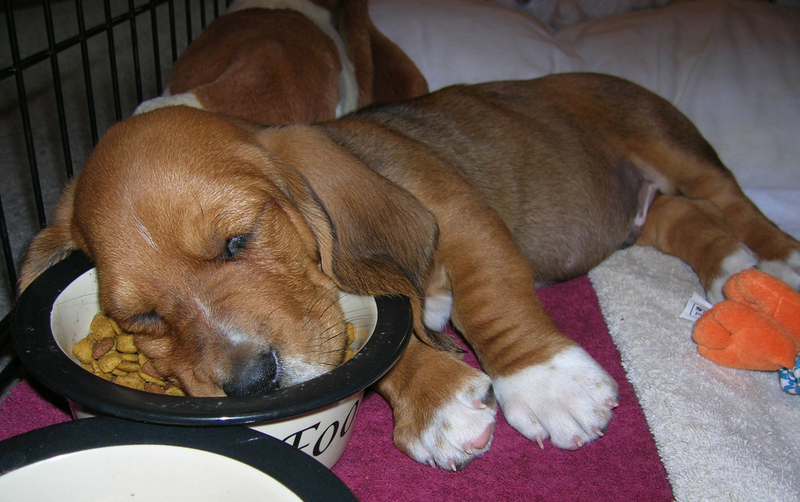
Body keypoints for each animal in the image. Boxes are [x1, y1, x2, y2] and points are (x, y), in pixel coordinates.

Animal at [20, 73, 800, 470]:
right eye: (141, 319)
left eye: (236, 242)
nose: (251, 385)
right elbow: (382, 343)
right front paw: (438, 403)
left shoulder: (460, 218)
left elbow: (490, 305)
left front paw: (545, 386)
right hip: (650, 207)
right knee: (687, 220)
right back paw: (730, 275)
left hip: (668, 142)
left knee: (733, 201)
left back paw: (776, 262)